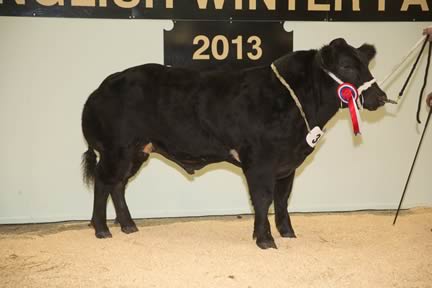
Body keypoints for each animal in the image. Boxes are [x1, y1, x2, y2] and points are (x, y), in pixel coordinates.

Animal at [82, 38, 388, 250]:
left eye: (366, 64)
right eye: (346, 66)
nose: (381, 97)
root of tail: (104, 85)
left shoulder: (287, 165)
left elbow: (282, 199)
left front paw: (287, 233)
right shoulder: (260, 162)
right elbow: (263, 199)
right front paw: (265, 239)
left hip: (136, 152)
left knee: (118, 185)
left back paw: (128, 226)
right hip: (117, 149)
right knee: (103, 182)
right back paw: (101, 229)